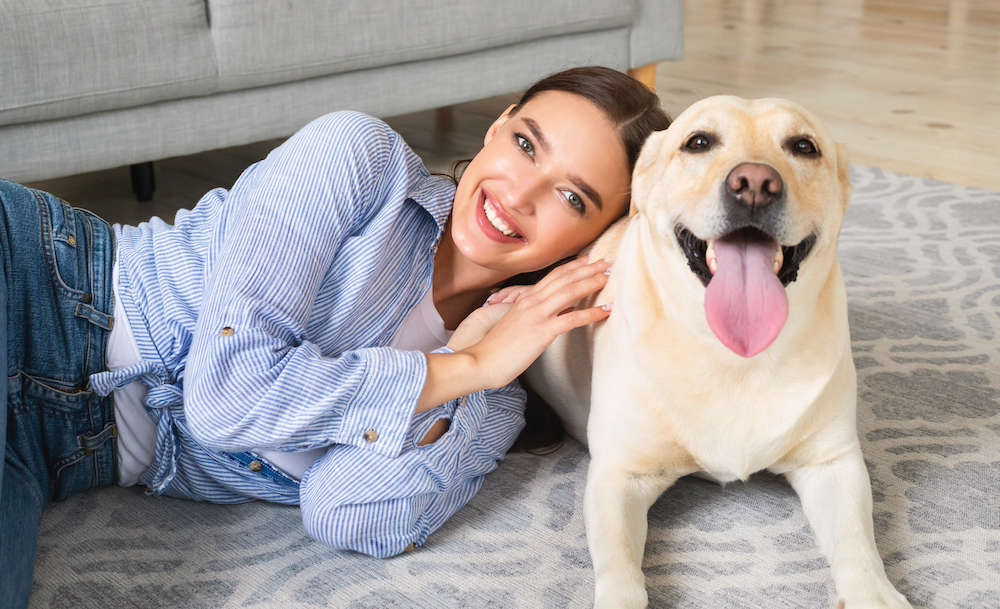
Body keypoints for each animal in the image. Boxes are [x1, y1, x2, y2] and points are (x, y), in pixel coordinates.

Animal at [524, 97, 916, 604]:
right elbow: (621, 570)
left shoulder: (833, 462)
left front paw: (875, 595)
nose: (755, 185)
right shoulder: (618, 475)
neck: (734, 355)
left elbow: (858, 542)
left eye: (804, 146)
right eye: (698, 142)